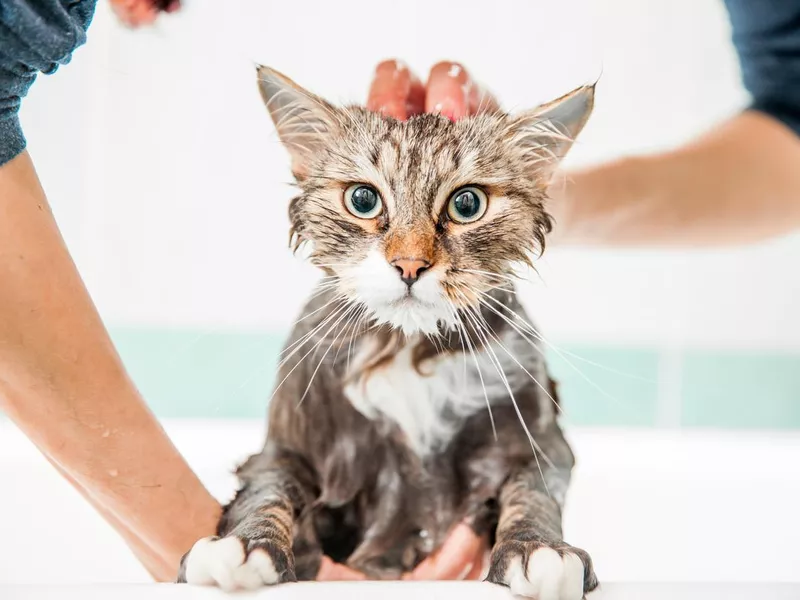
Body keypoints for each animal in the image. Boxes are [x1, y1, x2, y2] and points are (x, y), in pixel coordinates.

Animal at [177, 65, 600, 600]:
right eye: (363, 199)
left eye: (467, 204)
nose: (410, 264)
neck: (407, 349)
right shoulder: (285, 448)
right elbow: (268, 493)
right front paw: (245, 545)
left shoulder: (538, 442)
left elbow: (533, 495)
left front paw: (539, 549)